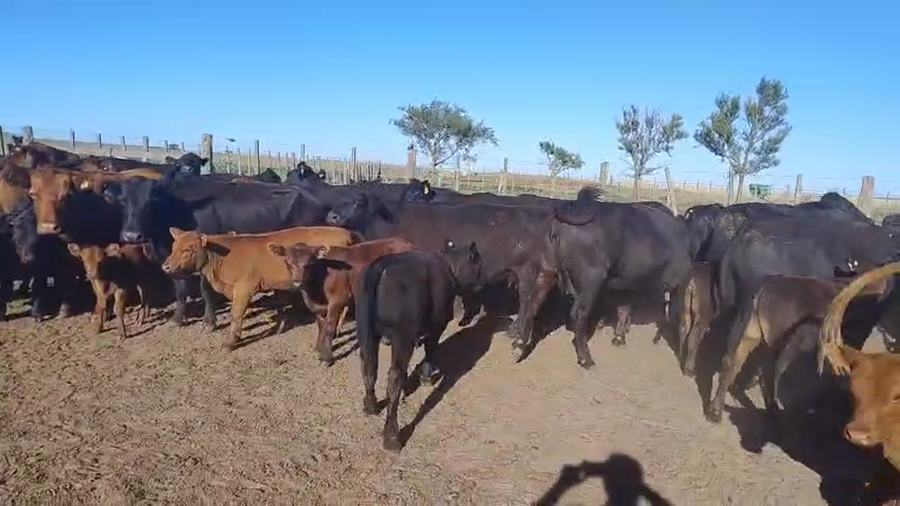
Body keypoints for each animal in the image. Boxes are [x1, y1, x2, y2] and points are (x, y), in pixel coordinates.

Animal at [110, 173, 331, 327]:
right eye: (123, 201)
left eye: (151, 201)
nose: (131, 236)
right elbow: (180, 290)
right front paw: (178, 319)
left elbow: (206, 291)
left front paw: (209, 322)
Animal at [161, 226, 357, 349]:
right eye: (173, 247)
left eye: (188, 249)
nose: (166, 266)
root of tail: (346, 232)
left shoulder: (243, 288)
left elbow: (236, 314)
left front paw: (230, 342)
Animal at [268, 236, 416, 365]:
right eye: (287, 263)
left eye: (309, 264)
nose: (297, 282)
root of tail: (406, 242)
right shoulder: (318, 306)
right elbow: (321, 325)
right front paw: (318, 349)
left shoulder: (337, 300)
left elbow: (329, 327)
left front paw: (326, 358)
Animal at [356, 240, 485, 451]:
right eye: (479, 265)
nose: (482, 284)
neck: (448, 266)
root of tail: (380, 267)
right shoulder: (438, 325)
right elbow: (430, 350)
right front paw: (426, 377)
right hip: (402, 338)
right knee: (394, 377)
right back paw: (392, 437)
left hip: (365, 331)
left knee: (369, 365)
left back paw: (370, 406)